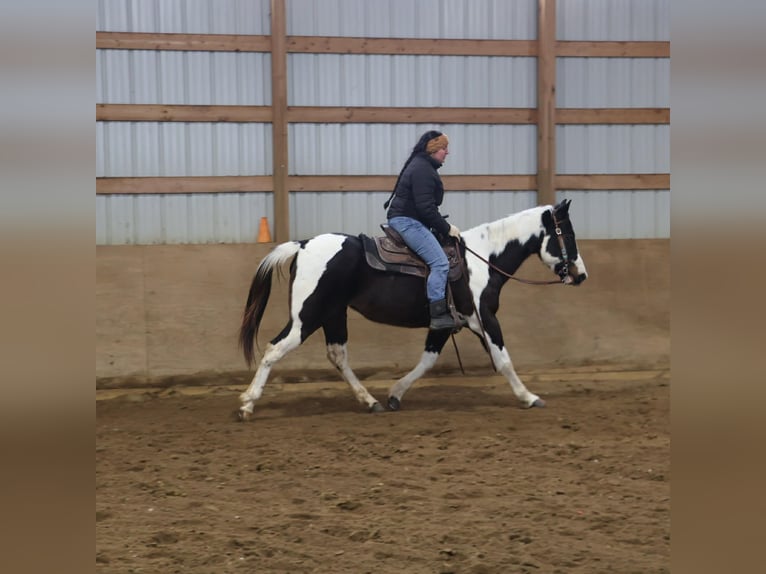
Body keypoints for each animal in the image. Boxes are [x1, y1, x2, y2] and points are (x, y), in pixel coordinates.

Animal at [237, 199, 587, 421]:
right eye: (568, 235)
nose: (580, 275)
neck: (483, 258)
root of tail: (303, 245)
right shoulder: (484, 319)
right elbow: (503, 360)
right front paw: (529, 397)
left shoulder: (444, 323)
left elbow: (427, 360)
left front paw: (395, 394)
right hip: (306, 317)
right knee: (274, 349)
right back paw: (247, 404)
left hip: (333, 315)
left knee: (337, 356)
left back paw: (370, 401)